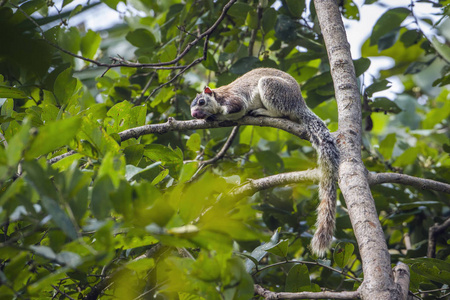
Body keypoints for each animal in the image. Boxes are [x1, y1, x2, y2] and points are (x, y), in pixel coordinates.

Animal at [190, 67, 342, 255]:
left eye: (201, 101)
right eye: (192, 106)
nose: (194, 114)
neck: (218, 98)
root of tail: (299, 104)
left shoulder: (233, 99)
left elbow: (235, 107)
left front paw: (217, 116)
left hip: (273, 89)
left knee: (280, 111)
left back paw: (264, 112)